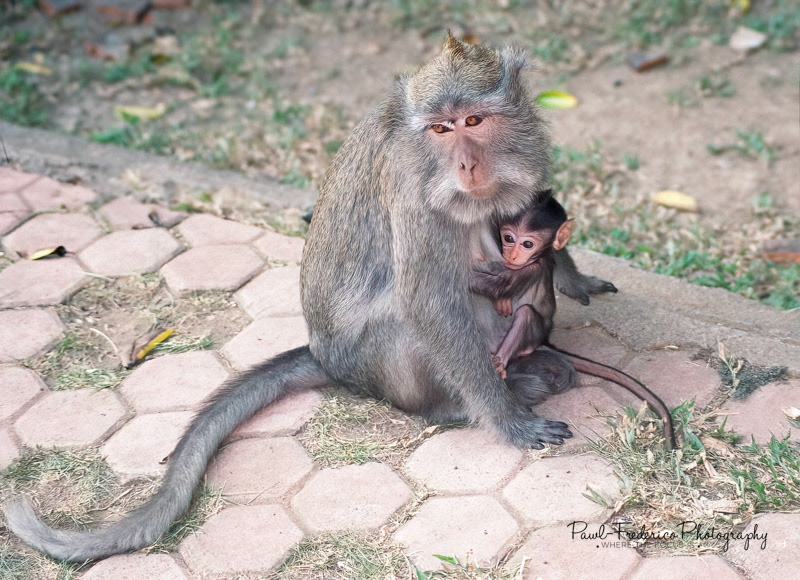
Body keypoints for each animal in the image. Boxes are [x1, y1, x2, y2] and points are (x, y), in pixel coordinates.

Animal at [3, 34, 618, 562]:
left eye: (473, 121)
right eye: (442, 129)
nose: (466, 164)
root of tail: (325, 356)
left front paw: (573, 276)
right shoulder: (412, 190)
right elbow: (427, 304)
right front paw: (507, 422)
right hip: (372, 362)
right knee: (409, 317)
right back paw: (465, 401)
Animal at [470, 196, 676, 449]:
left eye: (528, 244)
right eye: (508, 238)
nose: (512, 255)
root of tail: (545, 340)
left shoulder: (531, 266)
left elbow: (495, 286)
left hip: (533, 334)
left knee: (526, 314)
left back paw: (500, 361)